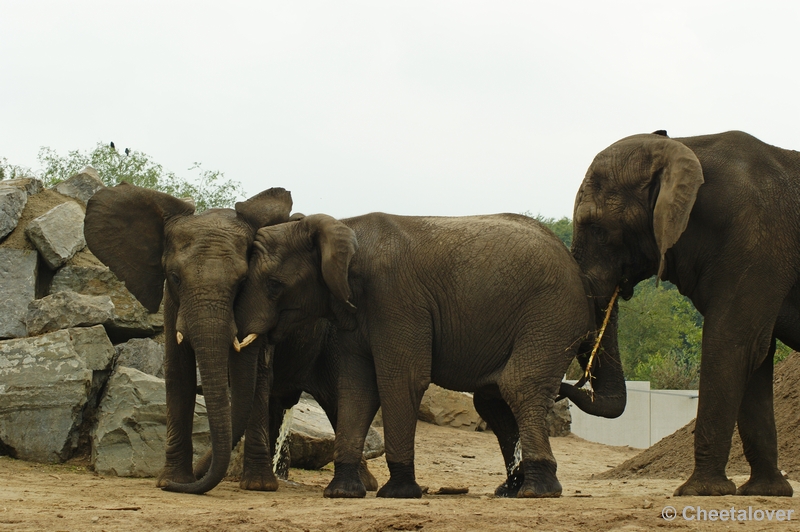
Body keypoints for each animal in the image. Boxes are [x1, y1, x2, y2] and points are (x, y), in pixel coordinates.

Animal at [83, 183, 294, 494]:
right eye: (174, 277)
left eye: (242, 281)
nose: (194, 478)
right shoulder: (172, 303)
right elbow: (178, 371)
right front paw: (171, 481)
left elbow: (259, 376)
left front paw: (259, 487)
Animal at [234, 212, 616, 498]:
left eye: (273, 285)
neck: (343, 226)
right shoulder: (354, 314)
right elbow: (356, 389)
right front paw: (341, 493)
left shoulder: (395, 300)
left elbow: (400, 381)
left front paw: (398, 493)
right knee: (496, 398)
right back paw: (513, 490)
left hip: (550, 315)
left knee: (520, 386)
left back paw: (538, 491)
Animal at [572, 131, 796, 496]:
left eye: (595, 226)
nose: (570, 387)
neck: (684, 145)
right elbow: (757, 354)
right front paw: (765, 492)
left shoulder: (758, 241)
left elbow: (733, 343)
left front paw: (699, 491)